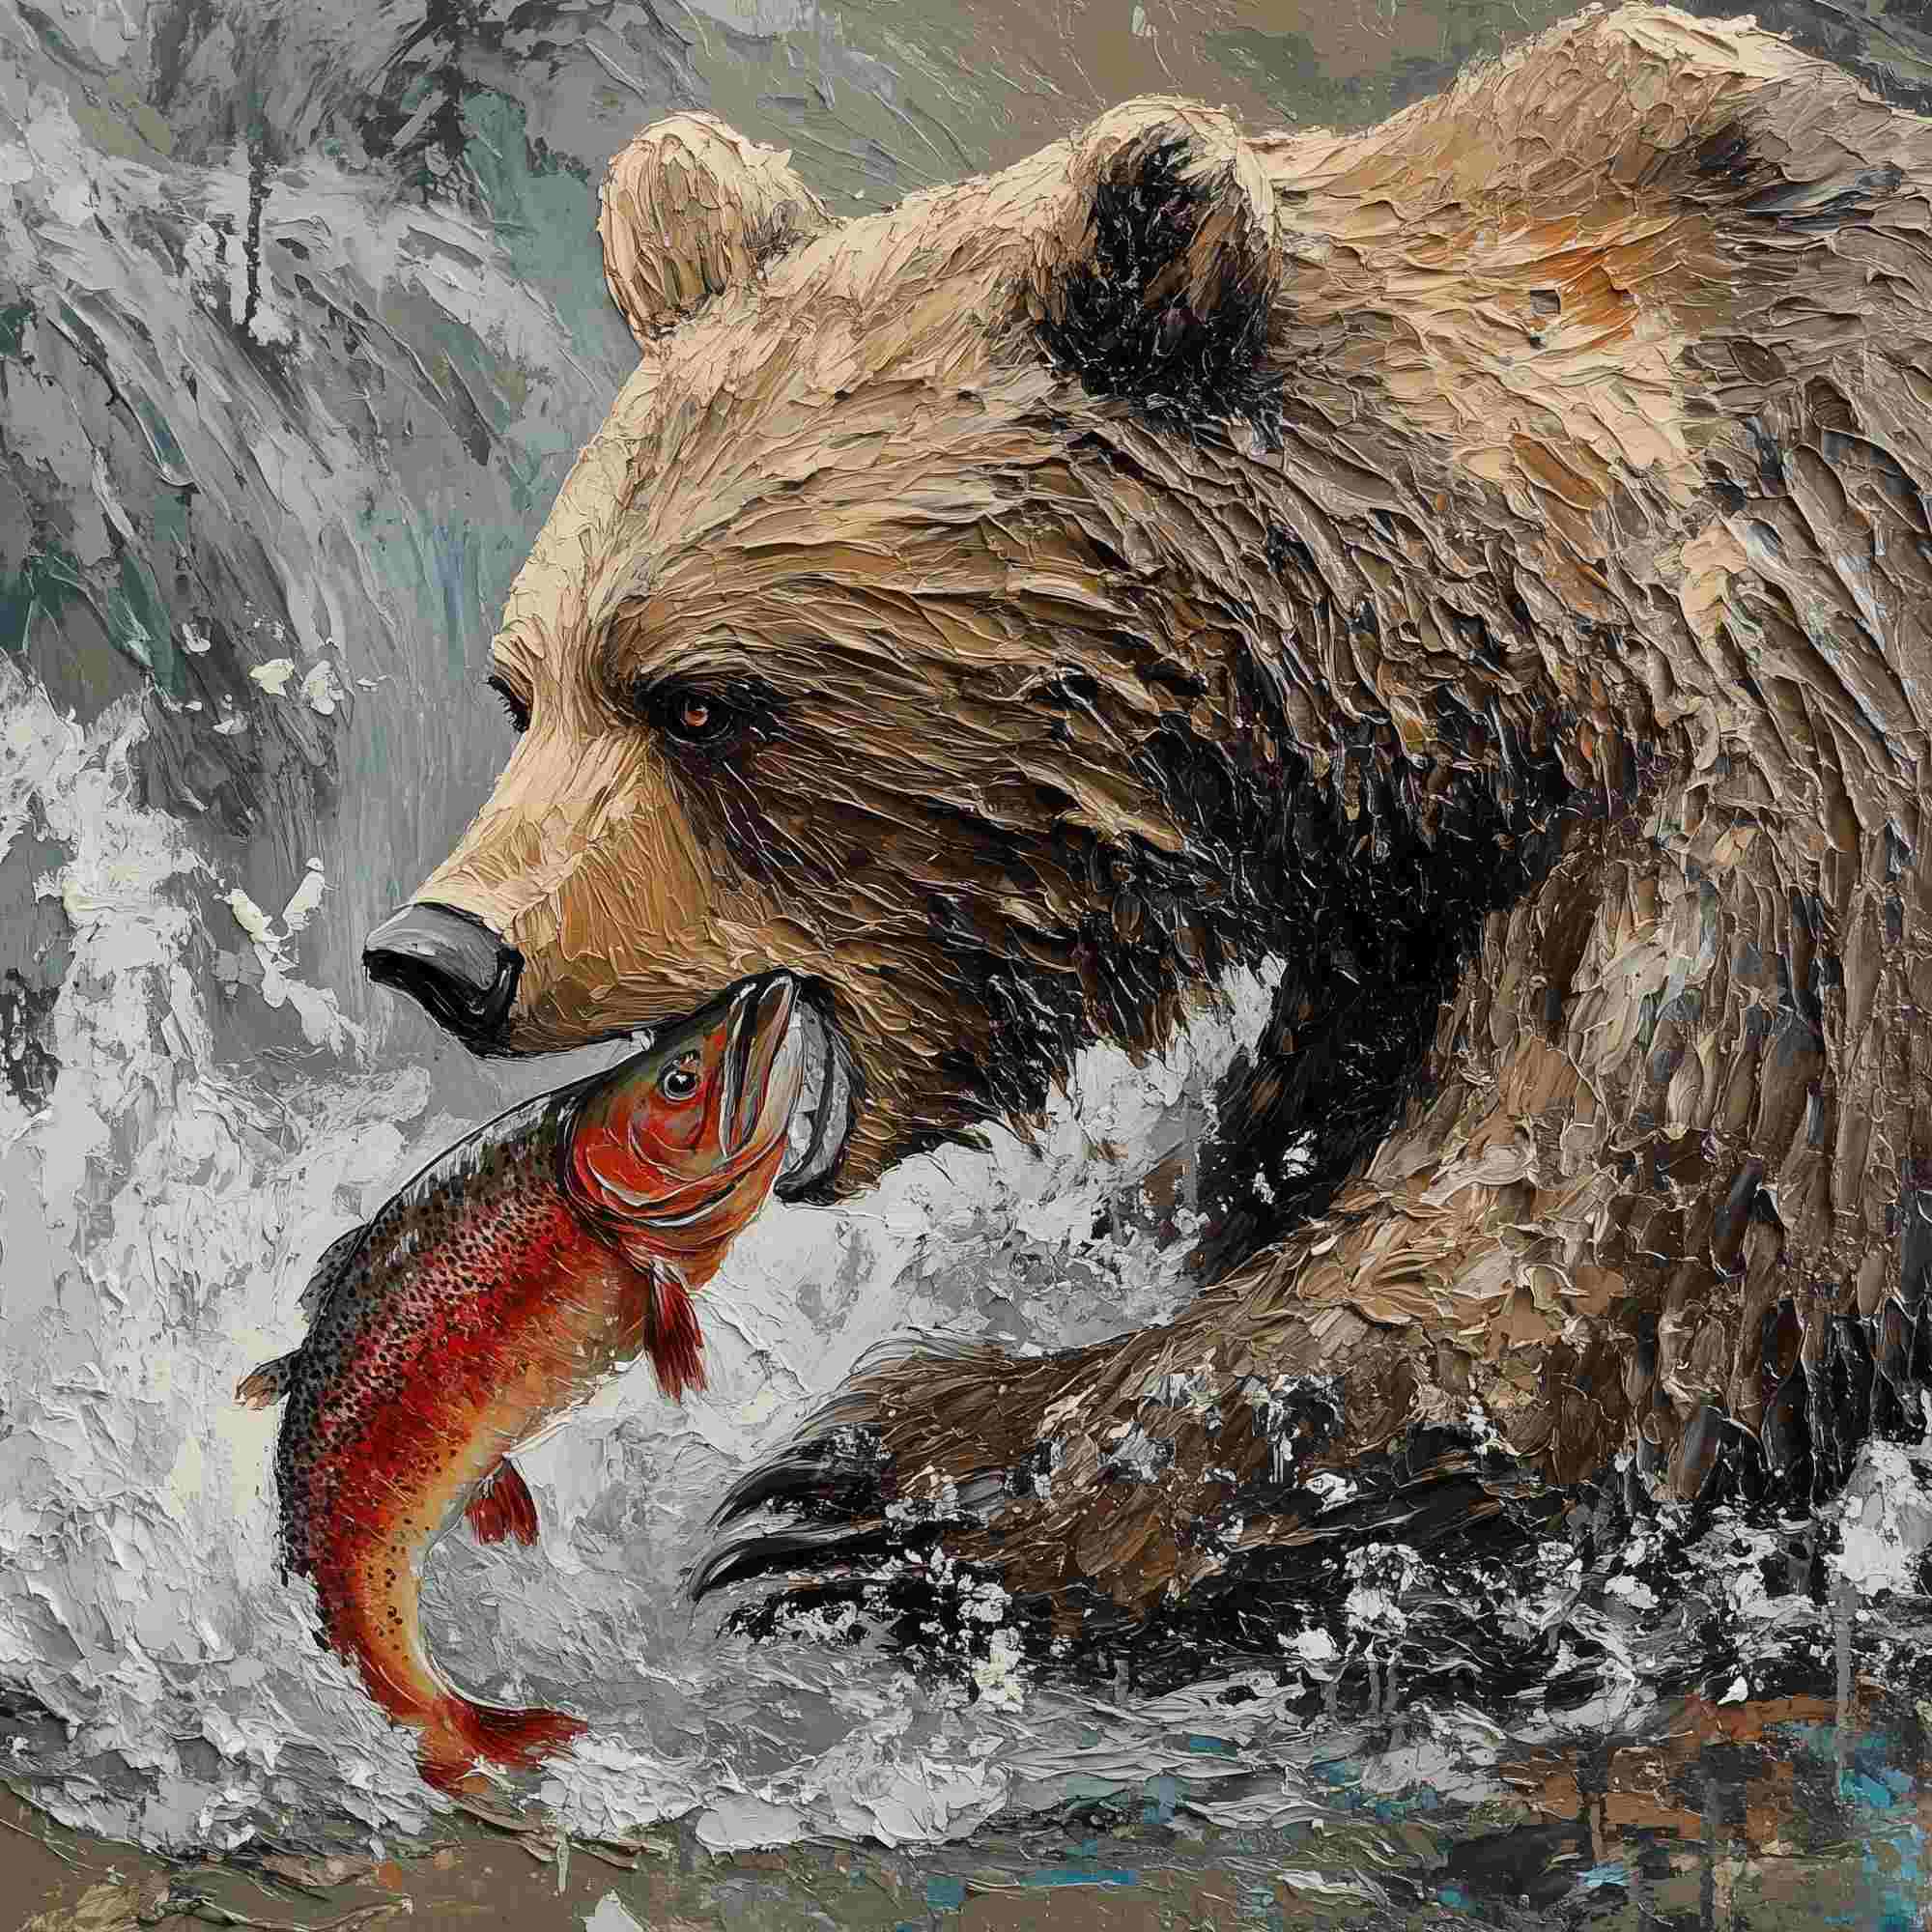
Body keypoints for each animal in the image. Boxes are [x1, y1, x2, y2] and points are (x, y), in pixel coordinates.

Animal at [363, 6, 1932, 1693]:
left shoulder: (1791, 757)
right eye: (525, 690)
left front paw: (862, 1492)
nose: (445, 951)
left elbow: (1600, 1271)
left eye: (702, 701)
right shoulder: (1399, 930)